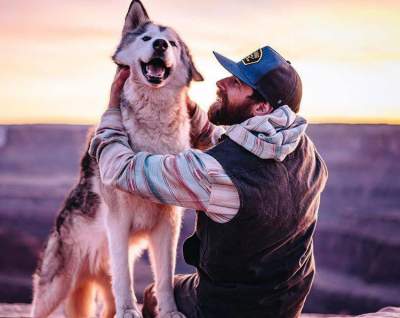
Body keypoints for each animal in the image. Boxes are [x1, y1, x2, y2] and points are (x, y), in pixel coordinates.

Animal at [30, 1, 203, 316]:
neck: (152, 130)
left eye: (172, 43)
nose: (160, 45)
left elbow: (165, 277)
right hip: (55, 288)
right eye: (147, 38)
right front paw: (129, 310)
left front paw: (170, 311)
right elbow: (125, 275)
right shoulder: (118, 220)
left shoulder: (167, 223)